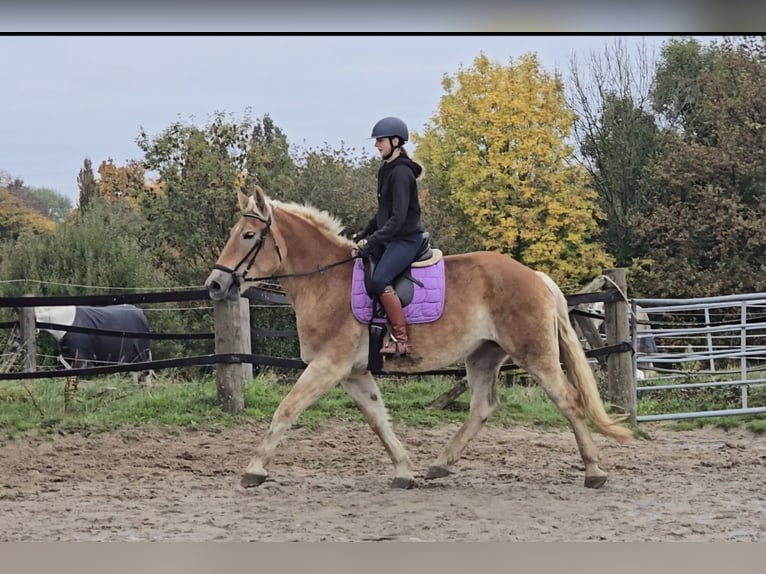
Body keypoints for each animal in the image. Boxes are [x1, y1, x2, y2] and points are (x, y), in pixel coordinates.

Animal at [205, 186, 633, 490]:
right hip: (483, 355)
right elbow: (378, 420)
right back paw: (440, 465)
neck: (326, 281)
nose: (215, 285)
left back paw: (594, 471)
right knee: (483, 406)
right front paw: (404, 471)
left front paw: (254, 470)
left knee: (568, 400)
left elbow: (286, 410)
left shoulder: (328, 366)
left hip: (534, 353)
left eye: (248, 235)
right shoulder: (354, 373)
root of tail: (537, 277)